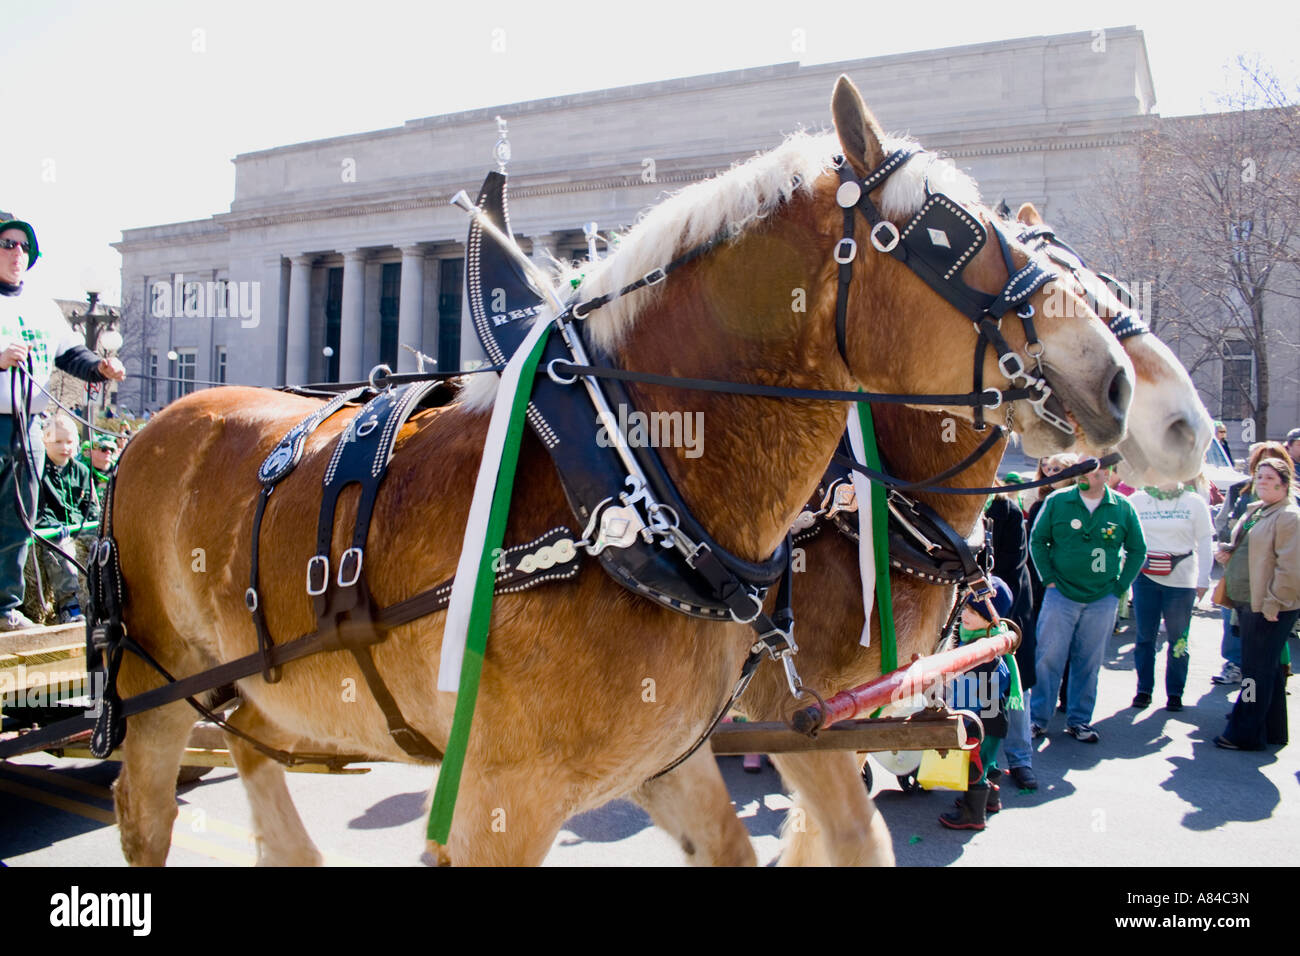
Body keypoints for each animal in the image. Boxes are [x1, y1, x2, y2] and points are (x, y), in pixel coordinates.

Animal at [106, 80, 1133, 868]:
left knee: (262, 778)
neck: (625, 490)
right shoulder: (503, 802)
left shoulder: (673, 757)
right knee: (145, 816)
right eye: (944, 237)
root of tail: (153, 426)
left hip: (268, 692)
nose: (1114, 378)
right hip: (154, 691)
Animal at [634, 204, 1211, 868]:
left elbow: (819, 834)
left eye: (1106, 285)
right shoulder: (791, 711)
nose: (1186, 425)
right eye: (1074, 290)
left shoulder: (856, 714)